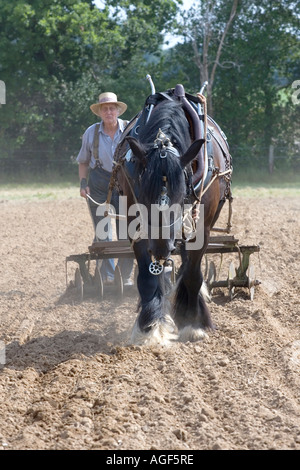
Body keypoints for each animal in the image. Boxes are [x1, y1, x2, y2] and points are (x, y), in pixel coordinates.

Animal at [112, 84, 232, 344]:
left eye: (181, 197)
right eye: (143, 195)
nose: (160, 249)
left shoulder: (202, 227)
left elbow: (193, 274)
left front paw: (192, 323)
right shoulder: (136, 224)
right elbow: (147, 277)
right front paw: (149, 326)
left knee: (188, 266)